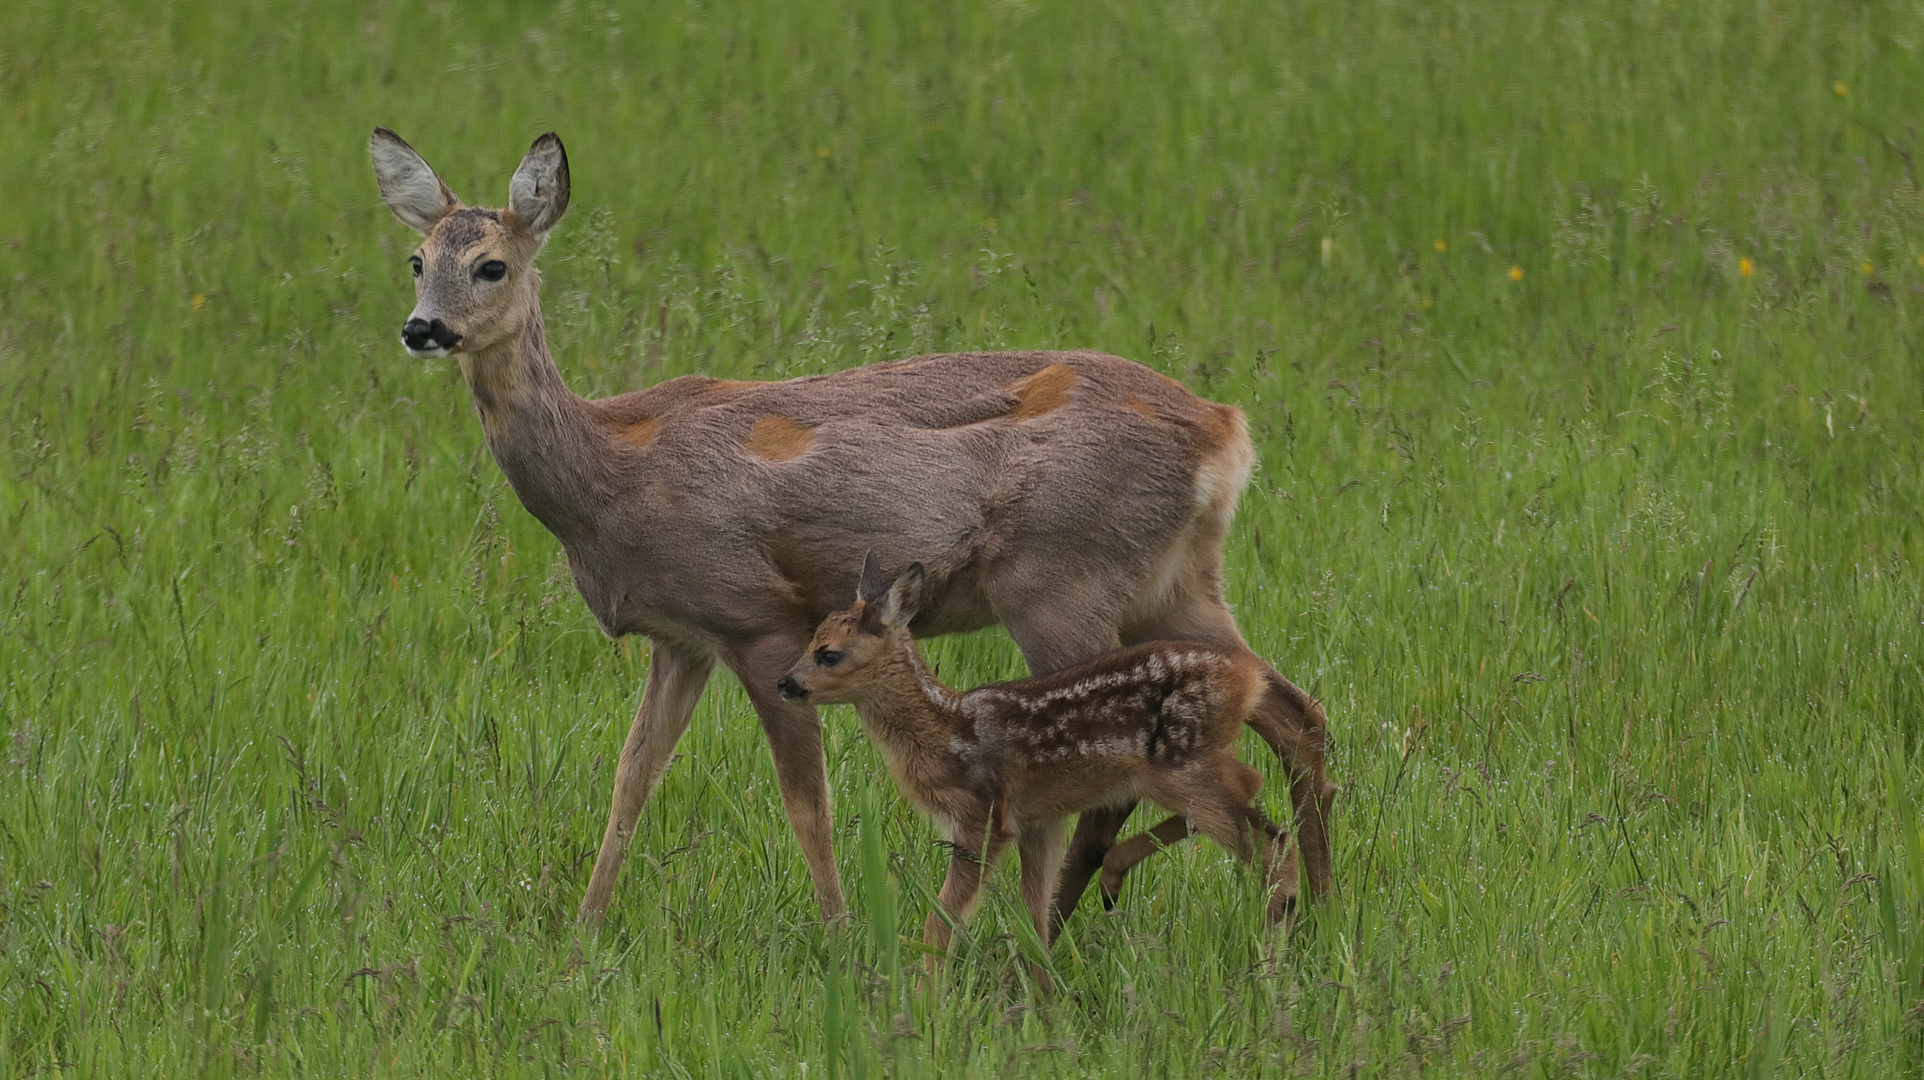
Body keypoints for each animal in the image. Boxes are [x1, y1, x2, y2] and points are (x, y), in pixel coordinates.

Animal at [781, 554, 1323, 951]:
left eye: (828, 653)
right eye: (810, 641)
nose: (785, 684)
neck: (945, 731)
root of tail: (1246, 680)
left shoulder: (983, 816)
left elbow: (942, 922)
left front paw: (925, 1000)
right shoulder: (1034, 819)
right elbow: (1032, 918)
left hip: (1179, 764)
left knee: (1273, 843)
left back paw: (1273, 954)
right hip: (1181, 767)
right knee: (1253, 787)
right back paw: (1116, 874)